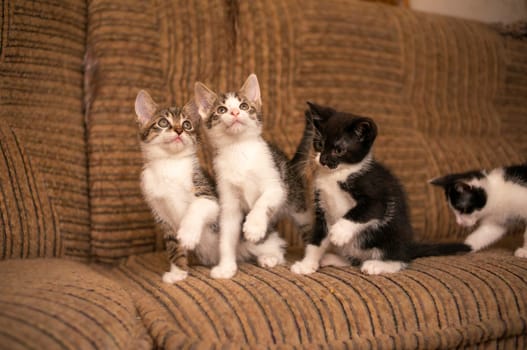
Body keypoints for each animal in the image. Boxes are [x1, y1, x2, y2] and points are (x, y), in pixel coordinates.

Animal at [195, 74, 314, 278]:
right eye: (221, 109)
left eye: (244, 106)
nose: (235, 112)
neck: (238, 148)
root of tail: (291, 166)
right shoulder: (229, 202)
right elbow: (226, 236)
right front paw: (226, 267)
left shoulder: (276, 185)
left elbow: (262, 201)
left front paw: (254, 227)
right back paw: (269, 258)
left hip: (298, 205)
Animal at [290, 102, 472, 274]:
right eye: (319, 144)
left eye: (339, 150)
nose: (323, 160)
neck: (337, 175)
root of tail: (408, 246)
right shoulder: (321, 206)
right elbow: (317, 239)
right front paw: (307, 264)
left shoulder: (377, 193)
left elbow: (361, 212)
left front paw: (338, 232)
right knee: (354, 259)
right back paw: (333, 258)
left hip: (392, 233)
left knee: (400, 259)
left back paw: (377, 265)